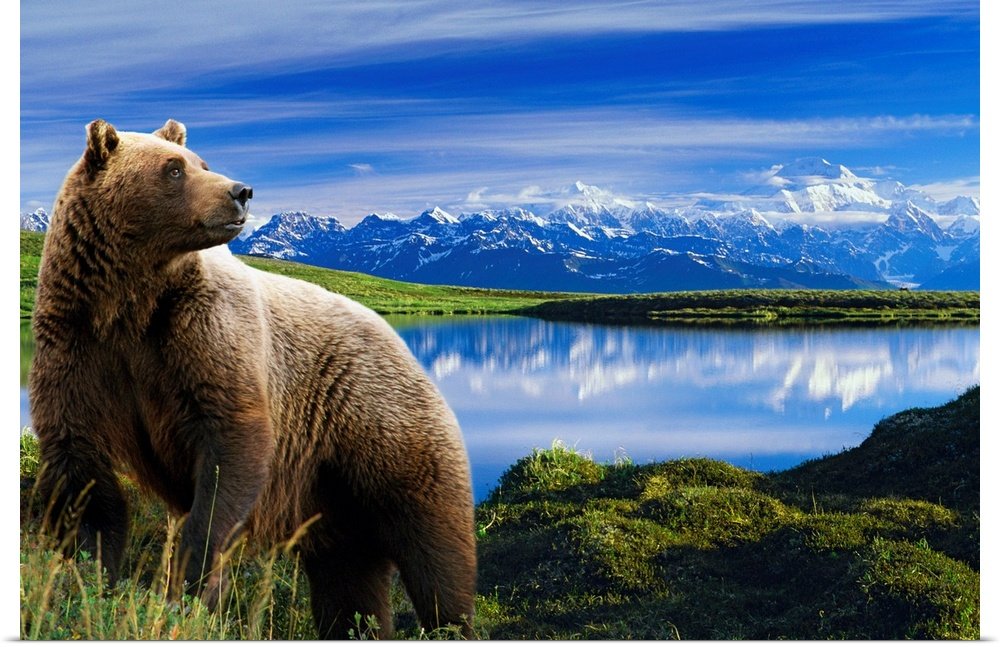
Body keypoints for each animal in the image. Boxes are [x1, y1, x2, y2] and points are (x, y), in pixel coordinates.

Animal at [29, 119, 477, 639]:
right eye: (174, 169)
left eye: (201, 161)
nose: (240, 191)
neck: (131, 301)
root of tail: (406, 347)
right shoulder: (79, 347)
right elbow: (82, 473)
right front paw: (88, 577)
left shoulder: (204, 337)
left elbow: (231, 448)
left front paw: (187, 582)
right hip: (332, 497)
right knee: (349, 580)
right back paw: (358, 624)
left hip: (385, 432)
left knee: (435, 553)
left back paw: (450, 622)